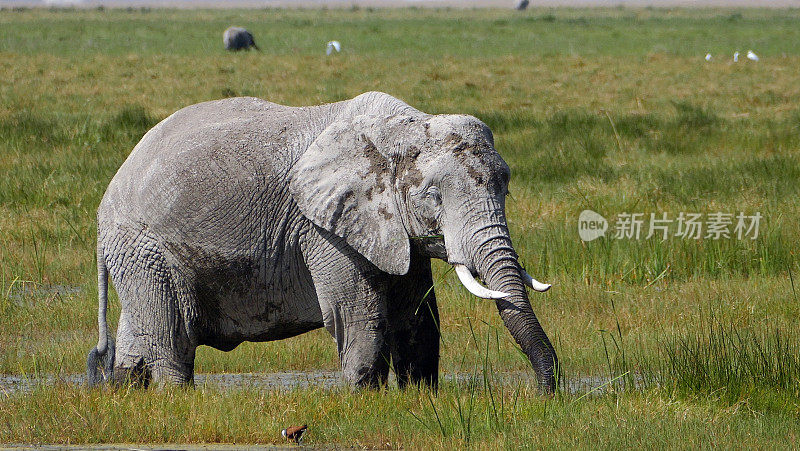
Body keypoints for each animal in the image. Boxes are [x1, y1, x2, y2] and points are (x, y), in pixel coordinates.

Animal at [87, 91, 560, 392]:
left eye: (506, 188)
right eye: (433, 197)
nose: (544, 395)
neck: (401, 127)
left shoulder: (389, 228)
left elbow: (418, 315)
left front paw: (419, 399)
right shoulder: (322, 228)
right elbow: (359, 314)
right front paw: (365, 403)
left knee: (140, 334)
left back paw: (124, 393)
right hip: (143, 246)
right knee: (171, 333)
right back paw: (175, 400)